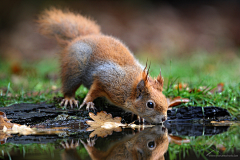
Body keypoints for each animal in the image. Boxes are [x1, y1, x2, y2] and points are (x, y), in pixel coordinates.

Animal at [38, 8, 169, 123]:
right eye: (150, 104)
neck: (128, 85)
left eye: (165, 99)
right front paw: (88, 102)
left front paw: (138, 116)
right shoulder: (105, 79)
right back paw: (69, 99)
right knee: (69, 85)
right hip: (74, 66)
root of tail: (82, 37)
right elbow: (93, 90)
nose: (164, 119)